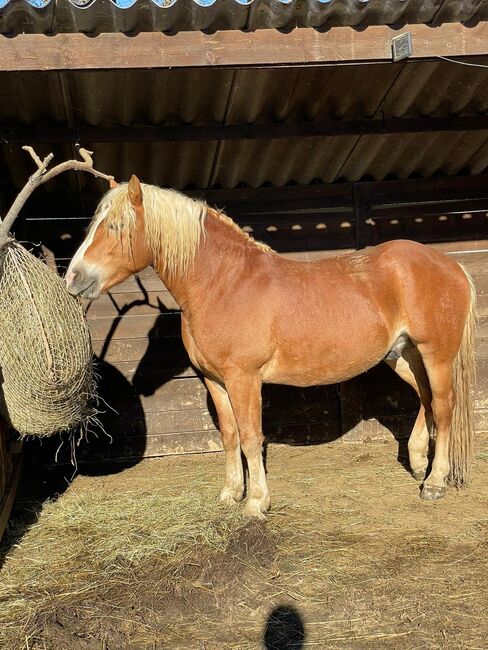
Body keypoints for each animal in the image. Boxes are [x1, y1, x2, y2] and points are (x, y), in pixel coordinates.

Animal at [66, 175, 476, 520]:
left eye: (116, 226)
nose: (73, 277)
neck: (224, 284)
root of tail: (451, 266)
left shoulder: (243, 379)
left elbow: (251, 437)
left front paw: (256, 503)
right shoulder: (215, 382)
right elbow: (229, 436)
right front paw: (230, 494)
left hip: (436, 355)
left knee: (444, 406)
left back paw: (435, 482)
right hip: (403, 356)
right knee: (425, 398)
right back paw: (418, 461)